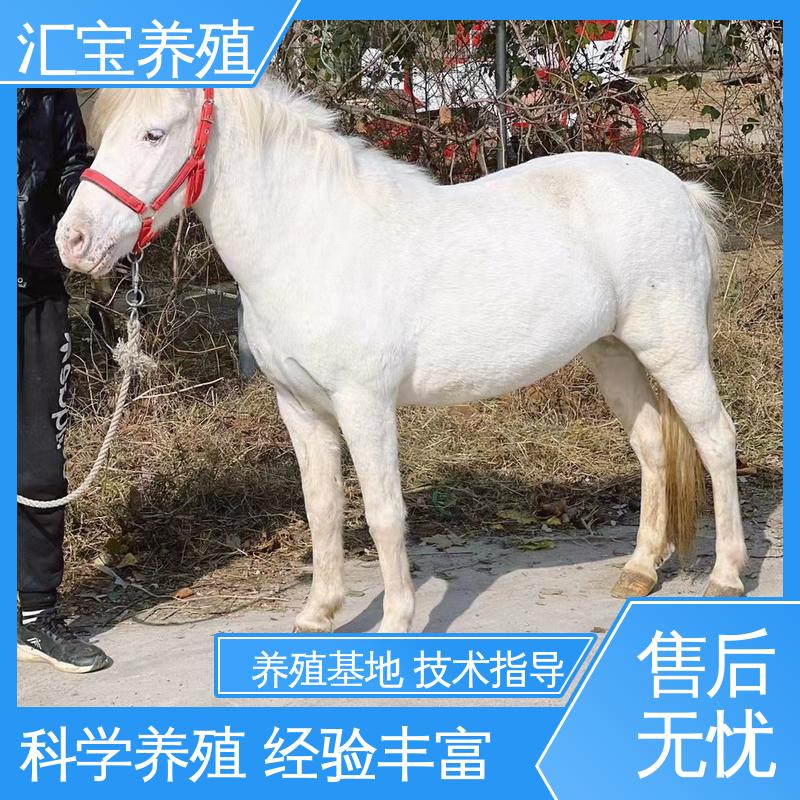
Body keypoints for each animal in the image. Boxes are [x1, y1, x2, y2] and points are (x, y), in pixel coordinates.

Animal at [56, 80, 747, 633]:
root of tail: (682, 191)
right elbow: (323, 507)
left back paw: (727, 575)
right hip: (613, 353)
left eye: (154, 133)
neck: (311, 241)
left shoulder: (364, 404)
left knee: (716, 439)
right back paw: (639, 571)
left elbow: (384, 513)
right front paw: (319, 614)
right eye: (101, 136)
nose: (74, 240)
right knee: (653, 446)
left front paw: (394, 622)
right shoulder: (300, 407)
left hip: (675, 352)